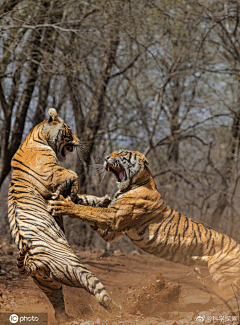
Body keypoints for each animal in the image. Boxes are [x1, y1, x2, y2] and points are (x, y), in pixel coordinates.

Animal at [9, 109, 117, 324]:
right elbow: (74, 175)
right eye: (69, 130)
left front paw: (102, 201)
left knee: (58, 307)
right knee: (99, 293)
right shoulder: (51, 175)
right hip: (77, 269)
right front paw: (72, 196)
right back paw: (125, 310)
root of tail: (32, 263)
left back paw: (67, 318)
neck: (36, 137)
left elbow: (81, 199)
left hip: (49, 284)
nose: (79, 141)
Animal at [50, 149, 240, 296]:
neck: (131, 185)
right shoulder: (112, 232)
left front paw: (64, 204)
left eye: (121, 153)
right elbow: (89, 205)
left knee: (231, 296)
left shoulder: (115, 217)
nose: (105, 158)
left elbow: (88, 211)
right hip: (205, 275)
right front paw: (88, 197)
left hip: (222, 274)